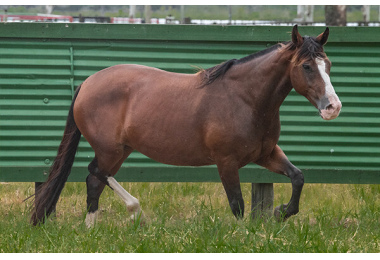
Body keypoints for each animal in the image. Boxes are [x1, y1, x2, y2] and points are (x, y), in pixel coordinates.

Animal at [31, 25, 342, 226]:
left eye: (327, 64)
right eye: (306, 66)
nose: (333, 107)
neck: (245, 98)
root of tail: (87, 83)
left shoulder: (266, 155)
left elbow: (298, 177)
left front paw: (281, 212)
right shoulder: (226, 162)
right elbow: (237, 205)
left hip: (121, 151)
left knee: (94, 182)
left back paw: (91, 230)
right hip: (110, 150)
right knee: (96, 173)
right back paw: (135, 211)